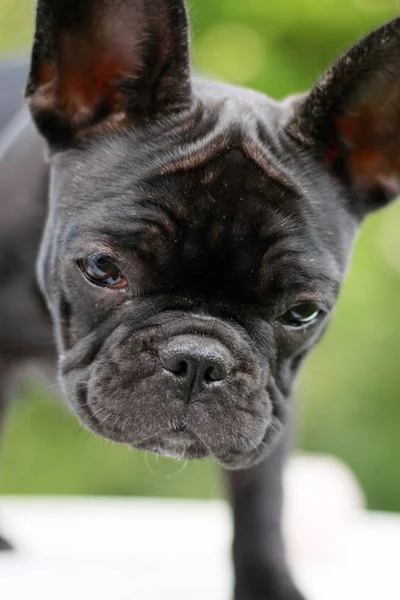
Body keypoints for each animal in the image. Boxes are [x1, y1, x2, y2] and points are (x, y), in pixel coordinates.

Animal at [0, 0, 400, 596]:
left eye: (303, 313)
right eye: (102, 269)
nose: (198, 360)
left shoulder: (273, 405)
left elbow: (261, 497)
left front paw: (268, 584)